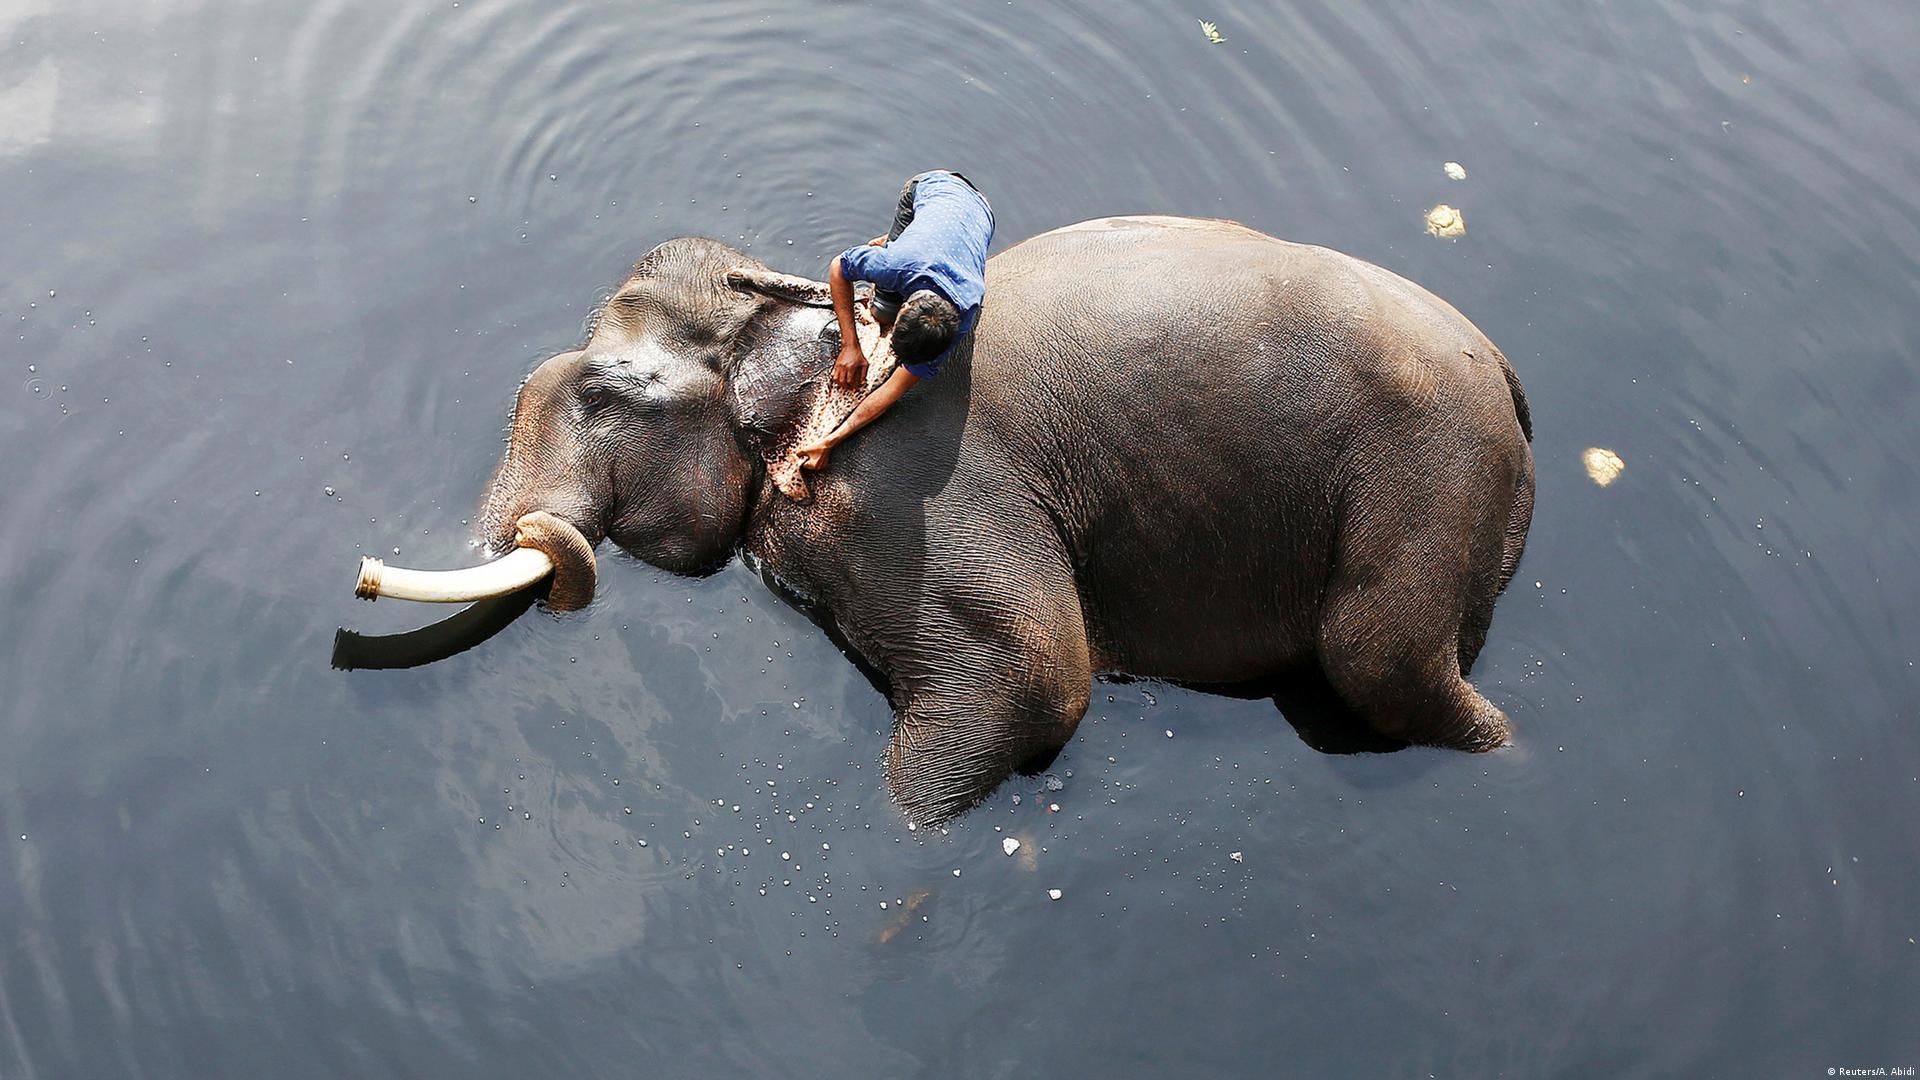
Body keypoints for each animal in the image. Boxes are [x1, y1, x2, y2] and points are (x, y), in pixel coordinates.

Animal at [460, 215, 1535, 826]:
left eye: (603, 394)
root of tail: (1506, 375)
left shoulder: (907, 491)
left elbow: (1035, 680)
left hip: (1428, 479)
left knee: (1378, 661)